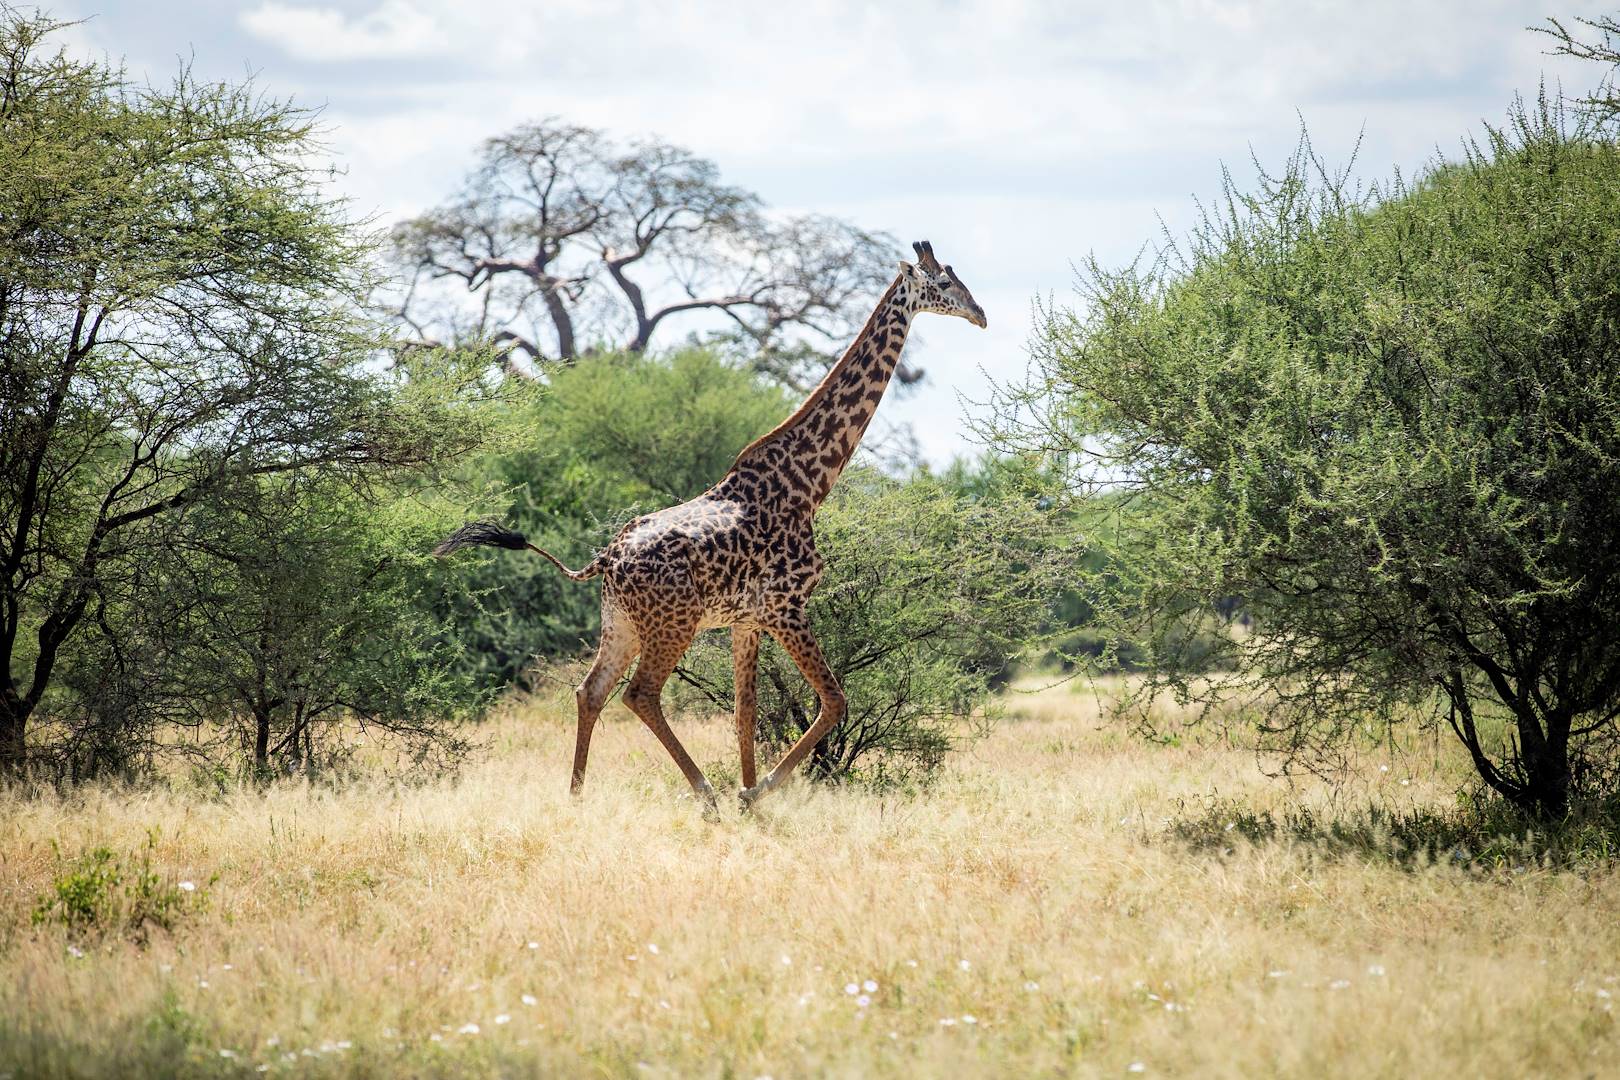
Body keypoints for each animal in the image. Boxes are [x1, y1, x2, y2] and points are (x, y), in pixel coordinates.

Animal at [435, 240, 986, 814]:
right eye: (944, 285)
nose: (981, 315)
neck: (809, 484)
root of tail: (607, 559)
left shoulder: (747, 619)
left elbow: (745, 714)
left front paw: (750, 796)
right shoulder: (785, 607)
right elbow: (834, 701)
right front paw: (754, 792)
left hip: (621, 624)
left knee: (591, 691)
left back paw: (577, 797)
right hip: (672, 625)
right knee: (639, 693)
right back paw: (705, 794)